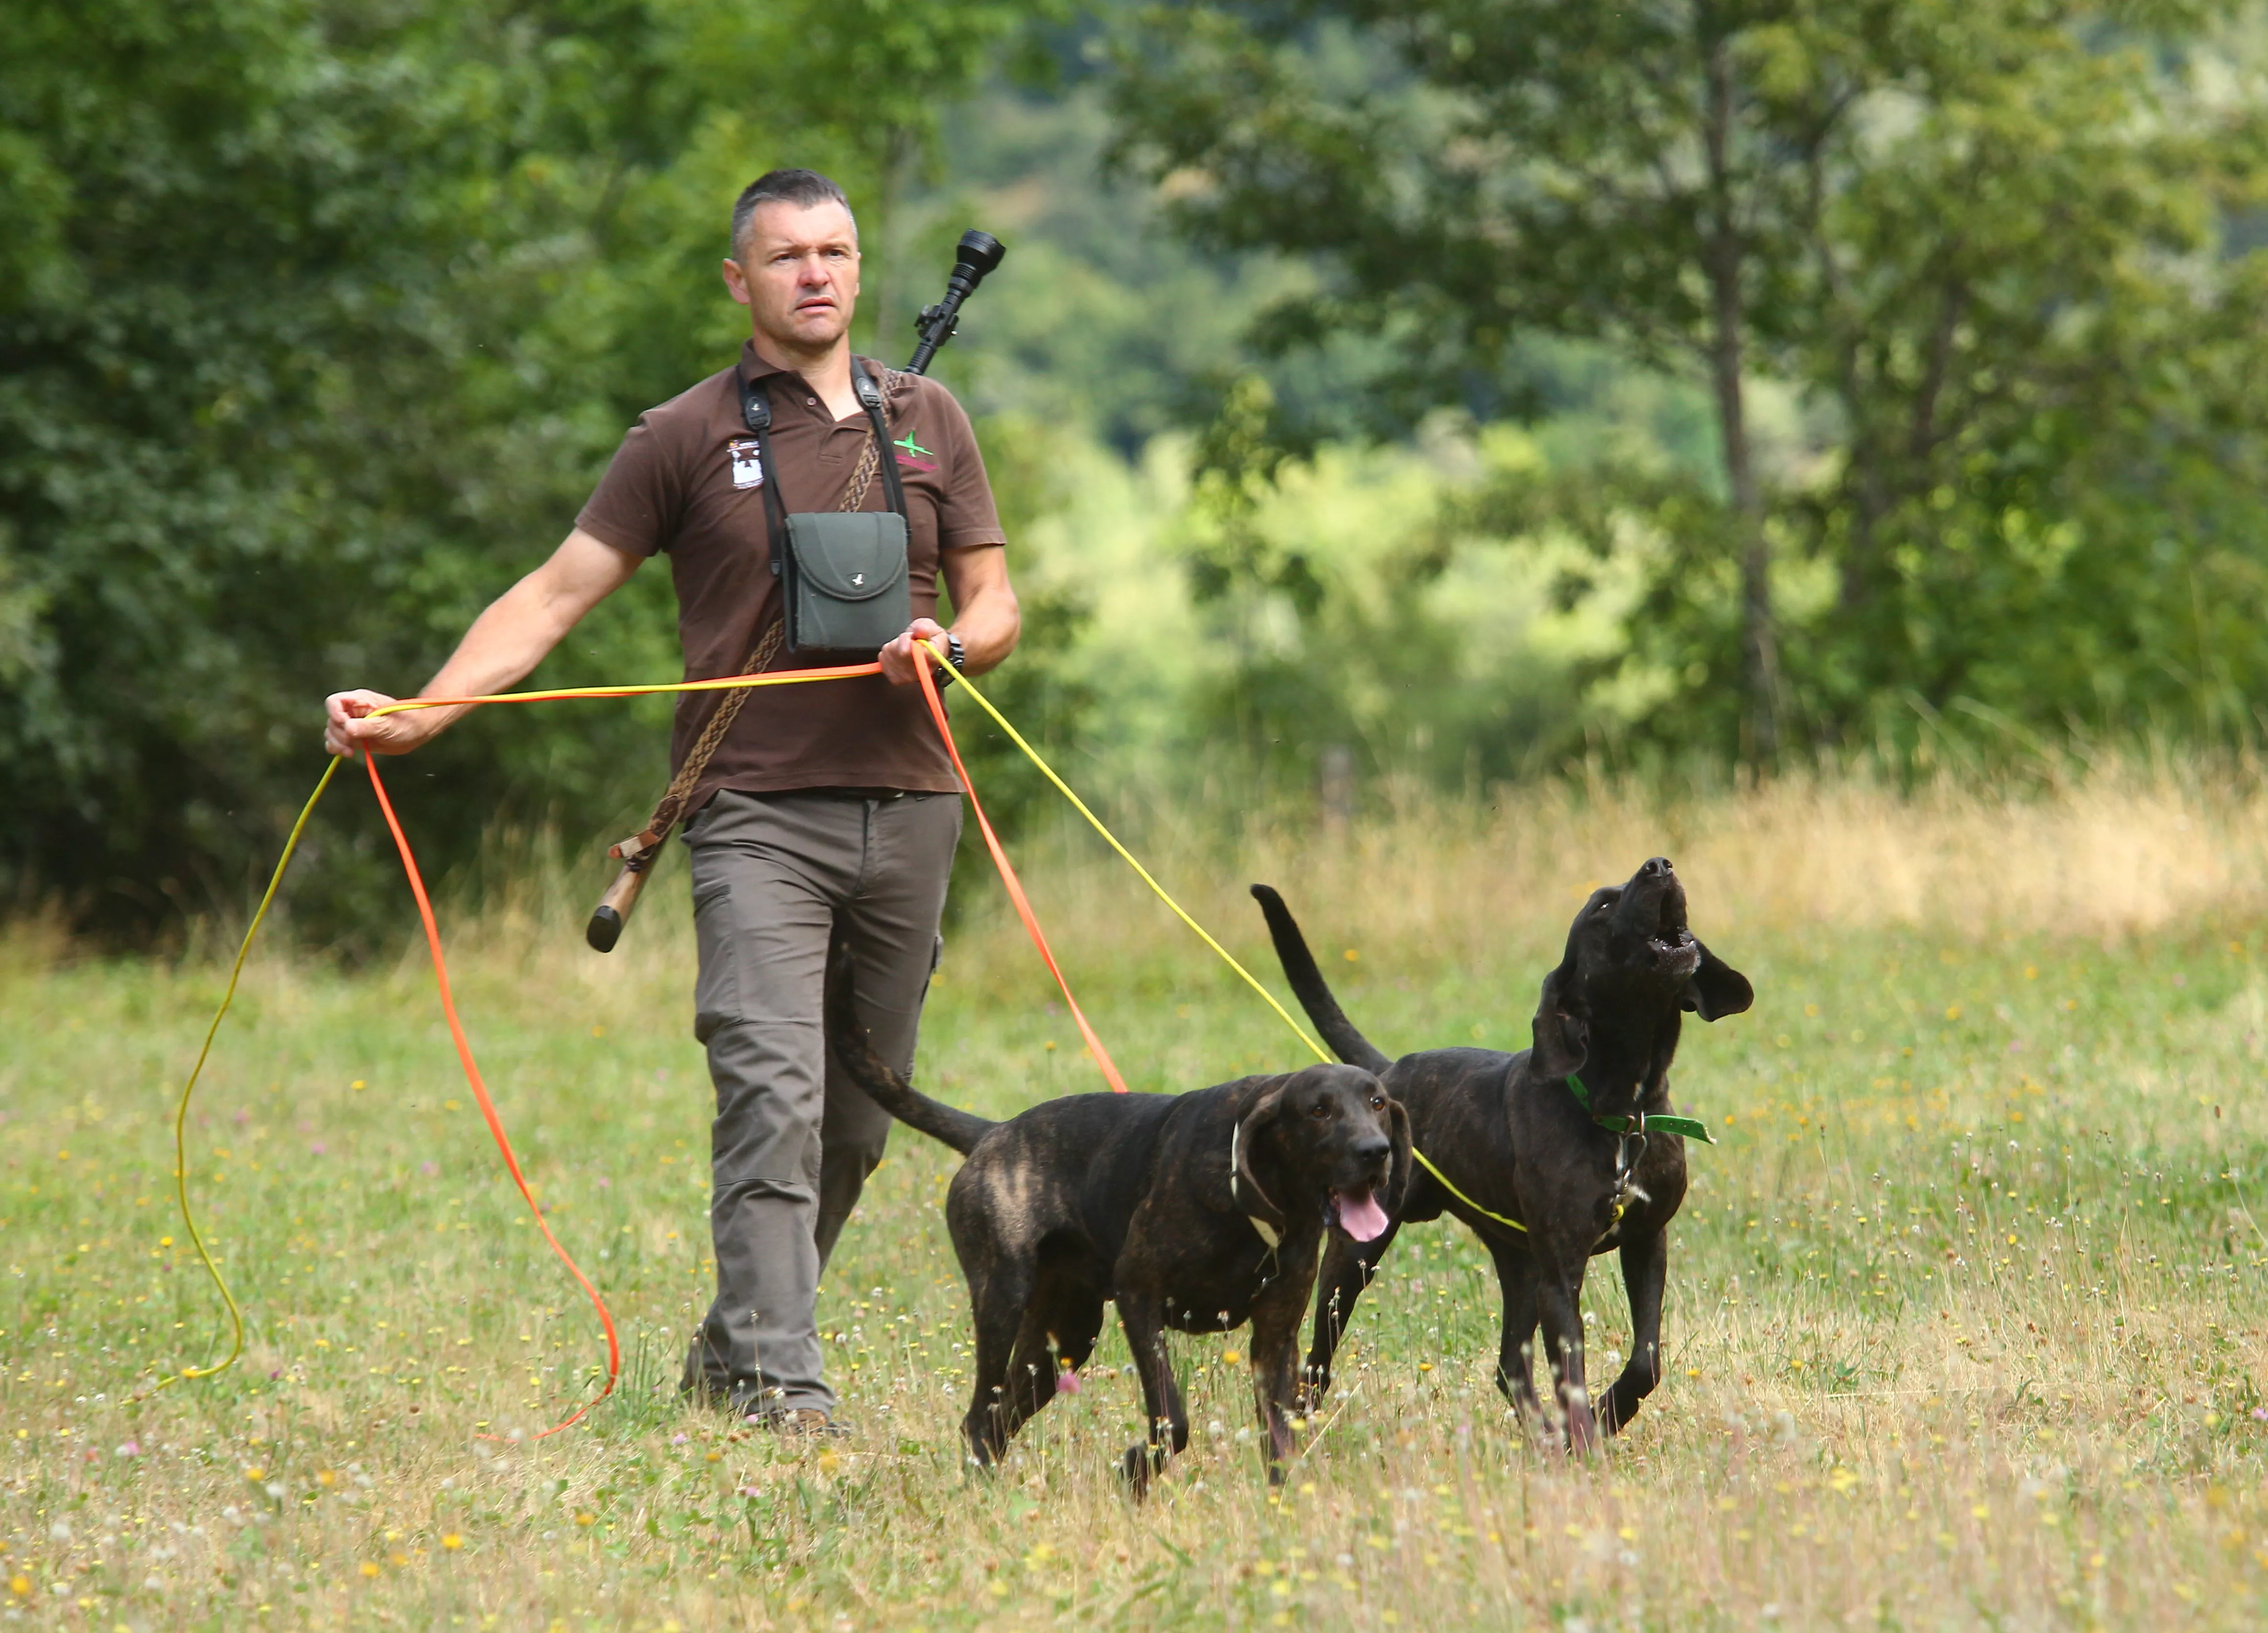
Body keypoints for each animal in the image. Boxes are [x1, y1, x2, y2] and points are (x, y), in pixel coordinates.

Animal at [825, 971, 1406, 1497]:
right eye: (1318, 1110)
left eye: (1377, 1102)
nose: (1376, 1152)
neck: (1255, 1197)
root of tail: (991, 1133)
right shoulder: (1138, 1294)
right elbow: (1172, 1418)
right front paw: (1135, 1470)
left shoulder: (1276, 1335)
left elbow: (1281, 1436)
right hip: (1002, 1300)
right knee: (979, 1415)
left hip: (1064, 1336)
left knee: (1000, 1415)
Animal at [1252, 862, 1741, 1451]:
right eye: (1602, 906)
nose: (1659, 865)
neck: (1622, 1110)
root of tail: (1387, 1076)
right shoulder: (1560, 1273)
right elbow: (1571, 1376)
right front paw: (1587, 1440)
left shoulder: (1646, 1240)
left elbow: (1645, 1360)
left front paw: (1602, 1420)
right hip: (1357, 1254)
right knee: (1316, 1364)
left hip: (1518, 1262)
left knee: (1510, 1364)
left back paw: (1545, 1439)